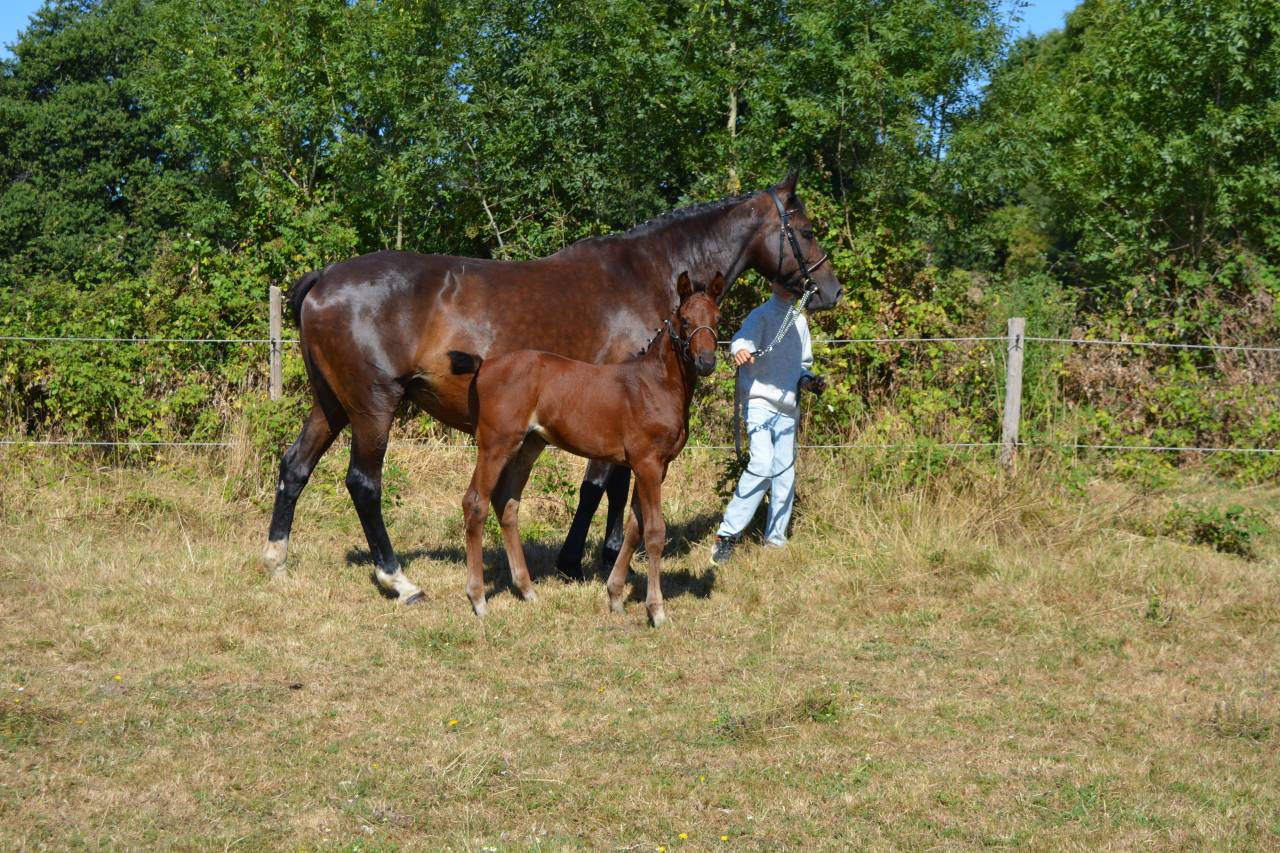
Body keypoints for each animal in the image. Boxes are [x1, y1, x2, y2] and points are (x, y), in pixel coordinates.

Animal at [452, 271, 724, 626]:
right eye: (685, 319)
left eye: (717, 318)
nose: (706, 362)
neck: (654, 385)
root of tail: (484, 365)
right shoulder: (648, 464)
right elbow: (653, 531)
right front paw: (656, 610)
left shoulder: (655, 467)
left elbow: (634, 526)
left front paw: (616, 595)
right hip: (495, 444)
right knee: (475, 503)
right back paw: (479, 599)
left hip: (528, 447)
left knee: (507, 503)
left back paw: (527, 590)